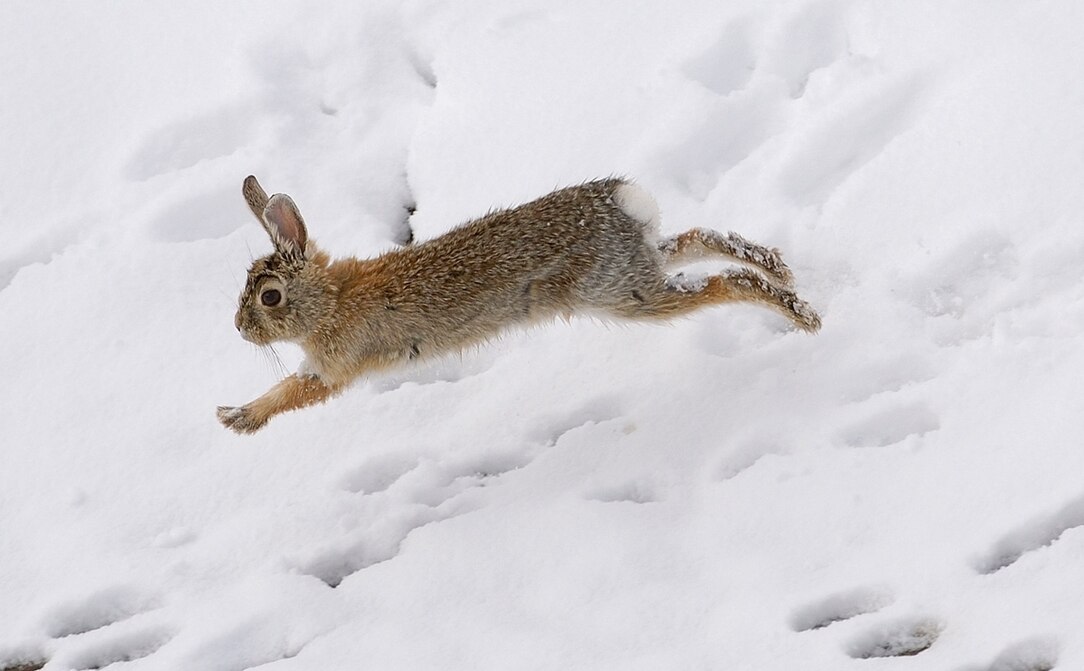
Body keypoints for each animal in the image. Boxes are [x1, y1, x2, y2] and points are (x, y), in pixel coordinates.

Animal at [218, 176, 820, 434]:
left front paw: (237, 418)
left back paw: (804, 317)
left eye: (269, 297)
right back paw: (783, 271)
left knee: (725, 284)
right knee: (701, 240)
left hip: (623, 292)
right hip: (638, 266)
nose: (240, 329)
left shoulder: (335, 368)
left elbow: (291, 391)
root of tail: (623, 201)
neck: (329, 299)